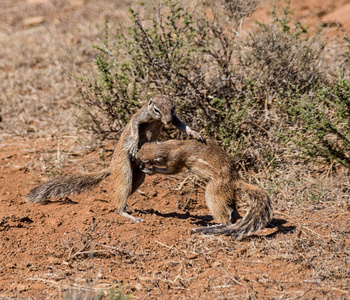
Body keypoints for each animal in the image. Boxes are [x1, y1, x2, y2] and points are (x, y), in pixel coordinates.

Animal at [24, 94, 204, 223]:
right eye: (156, 110)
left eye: (173, 109)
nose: (167, 120)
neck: (156, 119)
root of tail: (111, 166)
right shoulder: (141, 116)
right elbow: (134, 126)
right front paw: (135, 143)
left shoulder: (175, 119)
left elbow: (182, 124)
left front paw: (195, 134)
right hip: (124, 169)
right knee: (121, 196)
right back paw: (128, 215)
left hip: (139, 175)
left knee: (128, 189)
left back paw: (128, 207)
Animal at [137, 139, 274, 238]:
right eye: (142, 146)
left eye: (146, 160)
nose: (138, 161)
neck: (170, 147)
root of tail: (236, 179)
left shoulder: (175, 161)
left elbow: (172, 171)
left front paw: (150, 170)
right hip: (227, 193)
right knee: (232, 208)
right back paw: (232, 217)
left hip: (214, 190)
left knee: (222, 213)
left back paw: (217, 224)